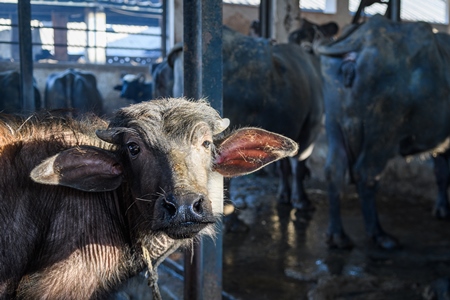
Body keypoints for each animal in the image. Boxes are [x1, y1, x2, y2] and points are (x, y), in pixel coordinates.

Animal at [318, 14, 450, 248]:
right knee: (366, 173)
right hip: (383, 132)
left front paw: (441, 209)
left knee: (334, 170)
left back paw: (337, 236)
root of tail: (360, 40)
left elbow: (441, 172)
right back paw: (379, 234)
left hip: (335, 123)